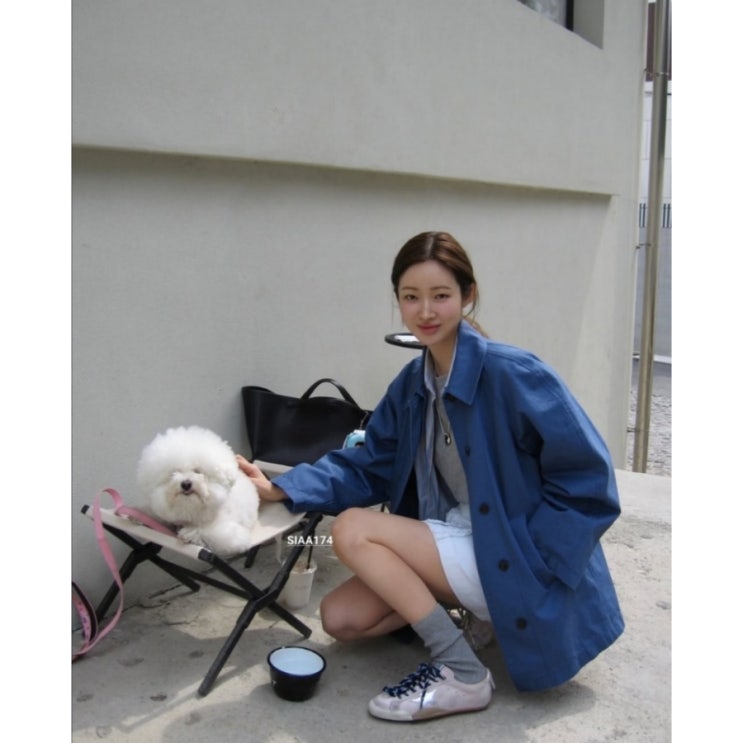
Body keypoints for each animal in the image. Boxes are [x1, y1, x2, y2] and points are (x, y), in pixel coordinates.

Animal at [136, 425, 259, 556]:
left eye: (197, 471)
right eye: (174, 473)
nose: (186, 484)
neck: (190, 508)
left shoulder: (232, 536)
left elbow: (211, 533)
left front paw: (189, 533)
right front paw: (141, 515)